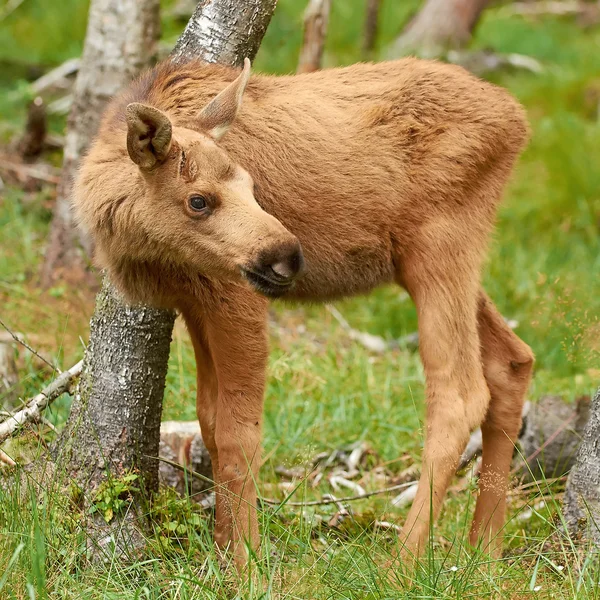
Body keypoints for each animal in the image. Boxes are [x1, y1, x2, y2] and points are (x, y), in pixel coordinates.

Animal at [75, 55, 536, 564]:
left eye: (252, 186)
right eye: (198, 200)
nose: (289, 256)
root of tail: (517, 119)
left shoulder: (236, 297)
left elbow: (239, 434)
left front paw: (247, 564)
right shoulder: (195, 302)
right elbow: (208, 422)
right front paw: (222, 549)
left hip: (440, 245)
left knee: (459, 392)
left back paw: (403, 563)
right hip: (430, 263)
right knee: (513, 359)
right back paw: (483, 552)